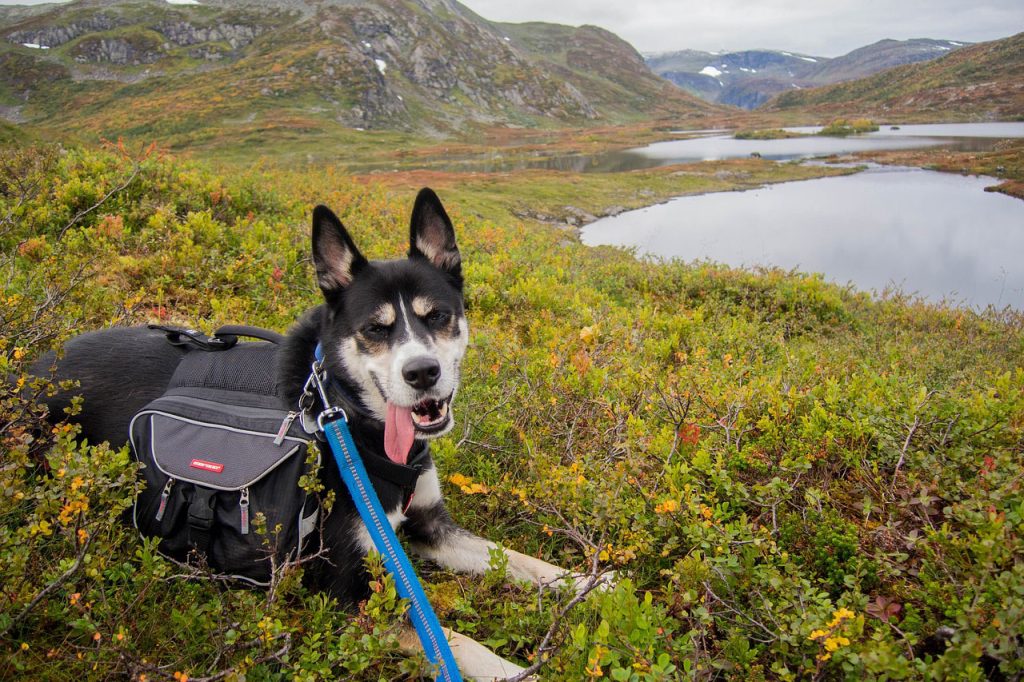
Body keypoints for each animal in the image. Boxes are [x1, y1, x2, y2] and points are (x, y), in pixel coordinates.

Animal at [34, 188, 577, 675]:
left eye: (437, 316)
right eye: (375, 329)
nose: (422, 373)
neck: (348, 417)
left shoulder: (428, 525)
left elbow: (516, 558)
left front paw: (585, 584)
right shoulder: (350, 590)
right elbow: (454, 640)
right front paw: (514, 671)